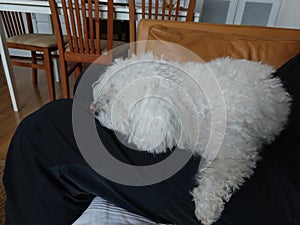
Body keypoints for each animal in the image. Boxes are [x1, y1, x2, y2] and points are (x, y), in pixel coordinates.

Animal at [89, 52, 290, 225]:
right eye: (107, 87)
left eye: (119, 100)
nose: (94, 109)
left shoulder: (236, 151)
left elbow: (217, 177)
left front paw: (207, 208)